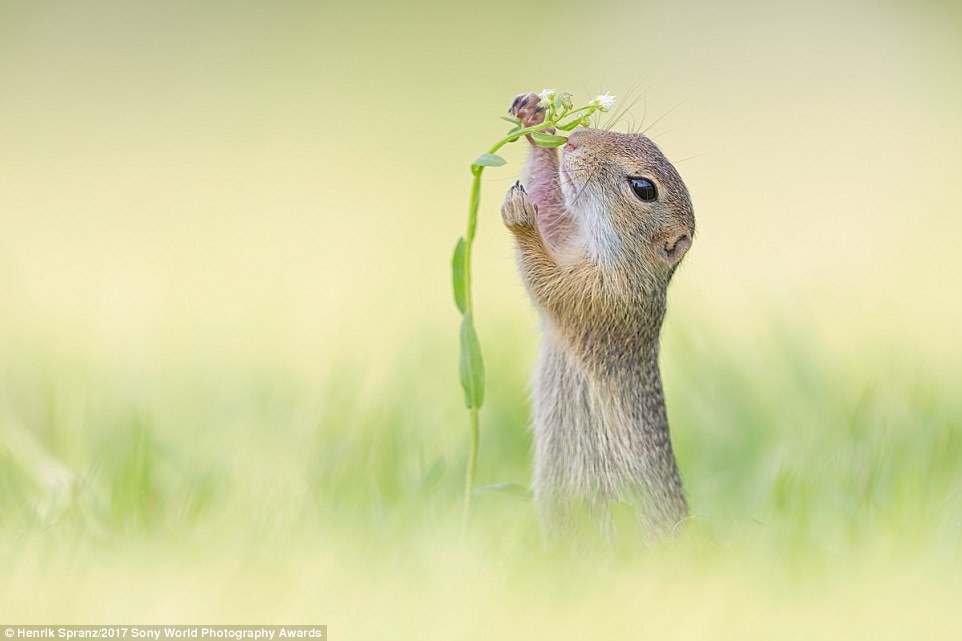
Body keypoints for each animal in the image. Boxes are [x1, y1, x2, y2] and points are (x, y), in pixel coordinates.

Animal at [502, 91, 688, 540]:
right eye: (640, 137)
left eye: (643, 188)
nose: (575, 140)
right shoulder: (570, 240)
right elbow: (552, 209)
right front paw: (535, 119)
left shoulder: (600, 296)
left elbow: (548, 282)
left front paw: (521, 218)